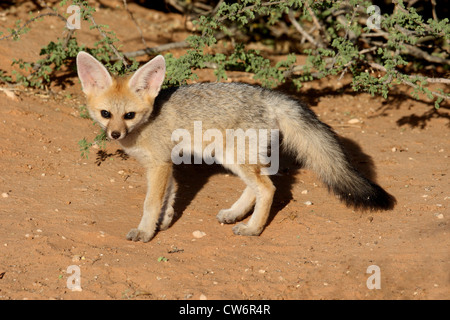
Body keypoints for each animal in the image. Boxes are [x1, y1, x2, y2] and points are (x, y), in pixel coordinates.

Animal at [76, 51, 394, 241]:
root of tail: (269, 95)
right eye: (106, 114)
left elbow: (151, 202)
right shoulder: (167, 164)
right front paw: (164, 222)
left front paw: (145, 231)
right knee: (261, 185)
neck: (147, 122)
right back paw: (235, 214)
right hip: (236, 158)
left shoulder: (159, 165)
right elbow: (170, 195)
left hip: (232, 157)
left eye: (129, 115)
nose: (115, 134)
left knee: (268, 188)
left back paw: (253, 228)